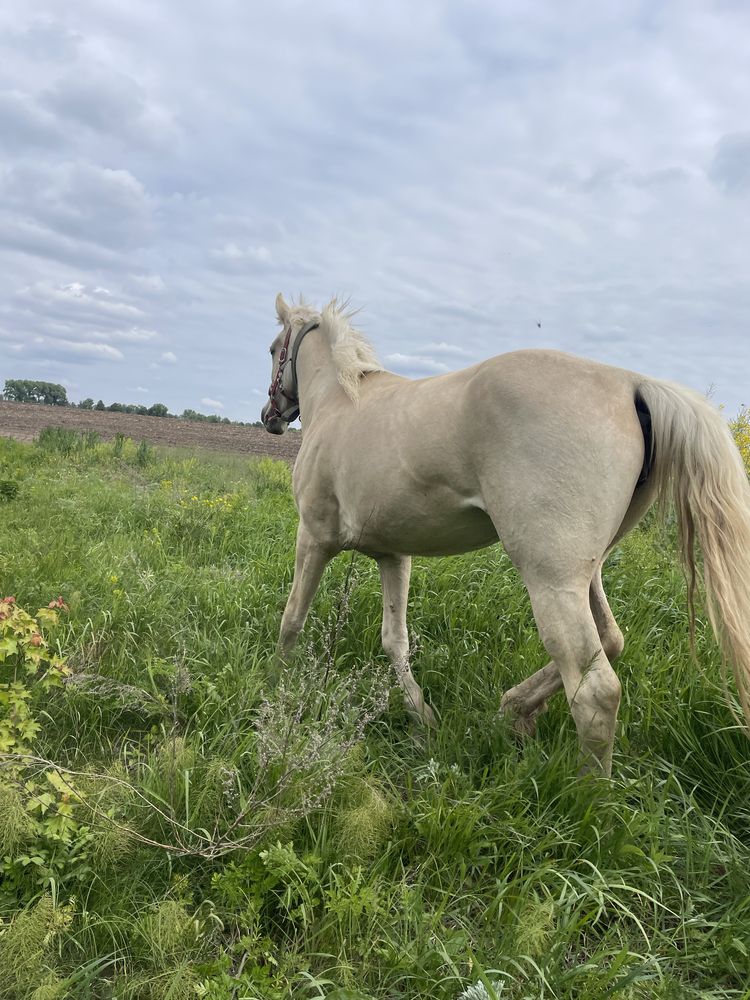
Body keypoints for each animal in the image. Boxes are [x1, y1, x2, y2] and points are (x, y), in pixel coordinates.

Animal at [260, 292, 750, 776]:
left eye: (272, 350)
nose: (270, 416)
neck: (341, 401)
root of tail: (632, 382)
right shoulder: (393, 555)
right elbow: (394, 641)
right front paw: (422, 717)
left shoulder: (314, 537)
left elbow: (292, 619)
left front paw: (274, 686)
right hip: (588, 572)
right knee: (611, 642)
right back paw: (514, 709)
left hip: (551, 578)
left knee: (595, 689)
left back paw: (586, 789)